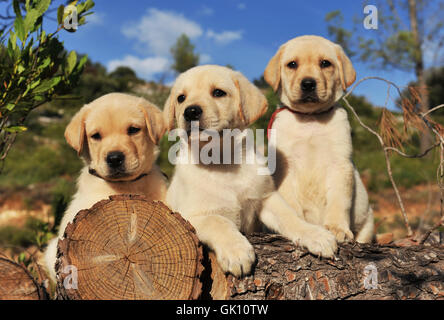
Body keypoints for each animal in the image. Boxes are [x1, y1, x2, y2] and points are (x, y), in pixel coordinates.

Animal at [165, 65, 334, 278]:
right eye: (181, 98)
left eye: (218, 93)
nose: (190, 111)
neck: (223, 162)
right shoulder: (190, 215)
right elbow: (218, 222)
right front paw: (236, 251)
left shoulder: (266, 198)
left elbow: (290, 216)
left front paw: (315, 234)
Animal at [264, 35, 374, 244]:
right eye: (292, 64)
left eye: (325, 63)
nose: (308, 84)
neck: (310, 119)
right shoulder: (285, 166)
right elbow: (291, 203)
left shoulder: (340, 164)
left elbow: (339, 201)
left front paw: (336, 227)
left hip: (368, 224)